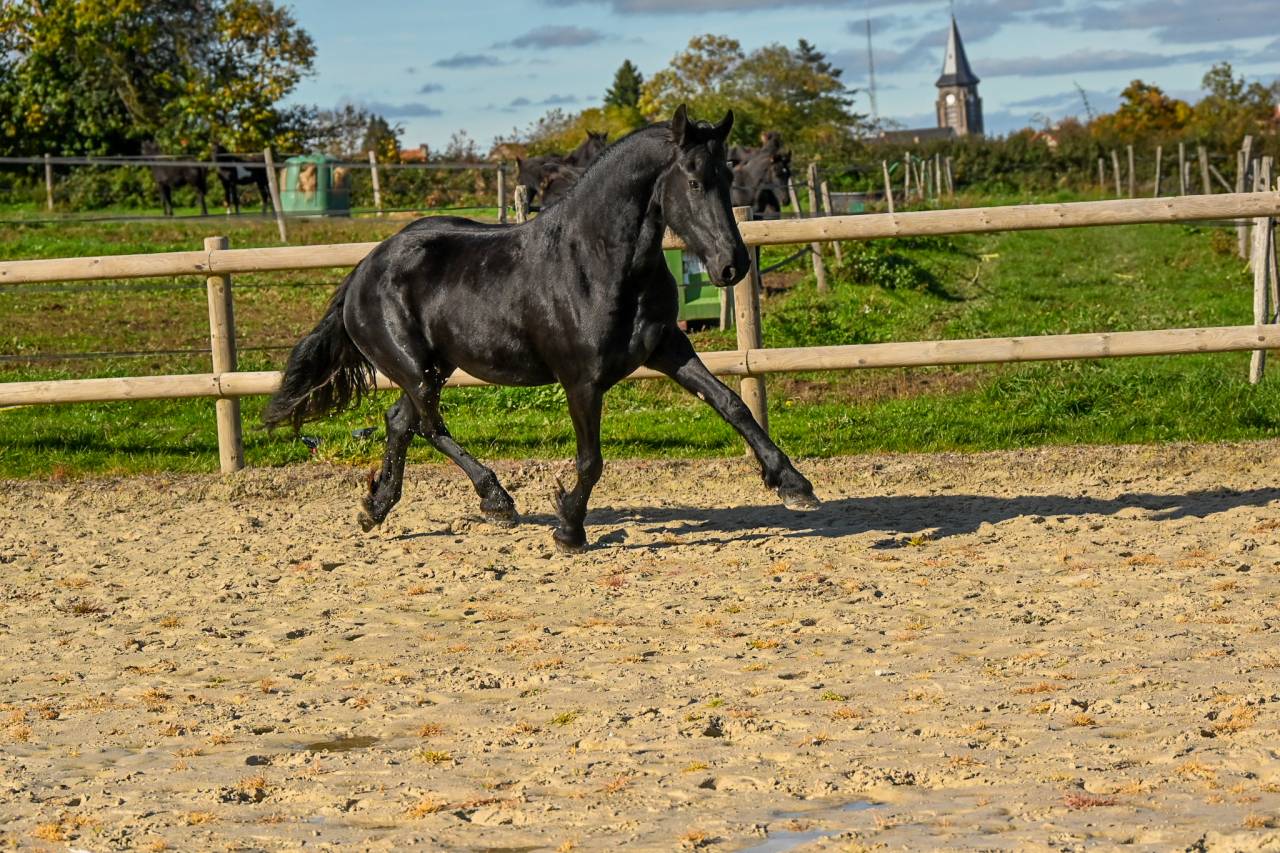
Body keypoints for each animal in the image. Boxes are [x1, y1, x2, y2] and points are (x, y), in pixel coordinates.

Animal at [263, 105, 818, 552]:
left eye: (728, 175)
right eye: (695, 180)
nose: (733, 266)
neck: (598, 263)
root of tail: (365, 266)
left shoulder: (667, 347)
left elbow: (731, 403)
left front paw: (794, 485)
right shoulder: (582, 380)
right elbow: (591, 460)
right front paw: (569, 528)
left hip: (436, 366)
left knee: (401, 421)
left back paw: (378, 508)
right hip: (416, 368)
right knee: (427, 424)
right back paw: (496, 500)